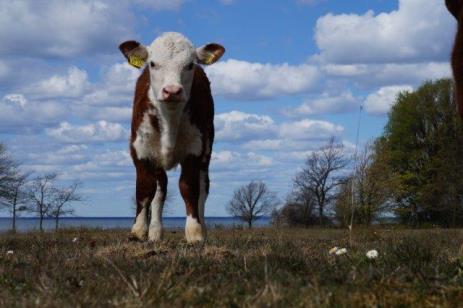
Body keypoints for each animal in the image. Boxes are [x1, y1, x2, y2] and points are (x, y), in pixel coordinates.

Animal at [118, 31, 226, 243]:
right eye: (152, 63)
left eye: (190, 65)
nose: (172, 91)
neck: (170, 121)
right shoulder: (140, 151)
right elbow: (145, 189)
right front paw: (138, 230)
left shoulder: (195, 150)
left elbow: (189, 188)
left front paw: (194, 232)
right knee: (160, 190)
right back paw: (155, 232)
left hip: (206, 152)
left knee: (203, 188)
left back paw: (202, 228)